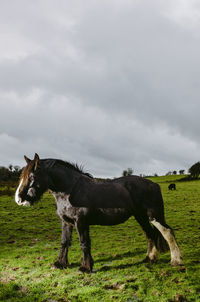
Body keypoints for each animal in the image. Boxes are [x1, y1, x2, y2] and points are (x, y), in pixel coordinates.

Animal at [14, 153, 182, 272]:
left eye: (32, 176)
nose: (19, 199)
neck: (70, 190)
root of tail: (154, 184)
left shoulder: (81, 222)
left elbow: (84, 243)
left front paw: (85, 267)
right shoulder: (66, 222)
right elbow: (64, 242)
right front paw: (60, 263)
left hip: (154, 216)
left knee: (167, 232)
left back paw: (176, 261)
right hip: (141, 216)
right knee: (150, 234)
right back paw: (149, 259)